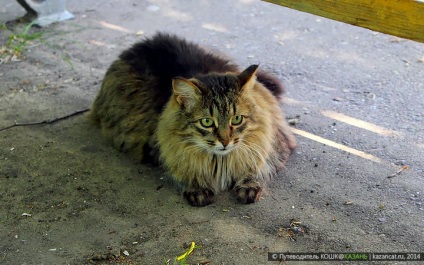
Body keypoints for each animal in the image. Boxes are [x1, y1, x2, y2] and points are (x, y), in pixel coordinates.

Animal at [89, 32, 294, 206]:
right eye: (207, 122)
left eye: (236, 119)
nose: (225, 141)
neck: (221, 161)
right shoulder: (157, 151)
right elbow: (185, 169)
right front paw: (197, 188)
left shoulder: (276, 147)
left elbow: (257, 169)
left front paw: (249, 186)